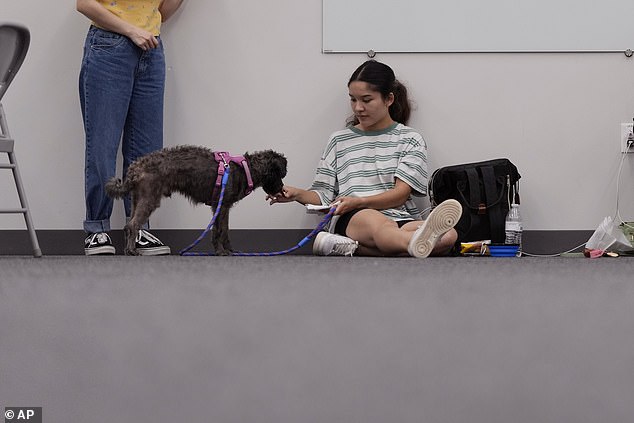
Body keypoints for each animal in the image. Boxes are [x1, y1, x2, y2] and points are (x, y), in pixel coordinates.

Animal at [106, 146, 286, 256]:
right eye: (280, 174)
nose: (282, 188)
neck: (244, 170)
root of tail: (136, 167)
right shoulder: (220, 206)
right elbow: (219, 231)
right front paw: (221, 252)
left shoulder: (223, 207)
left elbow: (224, 230)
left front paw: (229, 250)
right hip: (149, 198)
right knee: (132, 225)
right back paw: (132, 251)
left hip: (137, 199)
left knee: (128, 225)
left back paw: (127, 249)